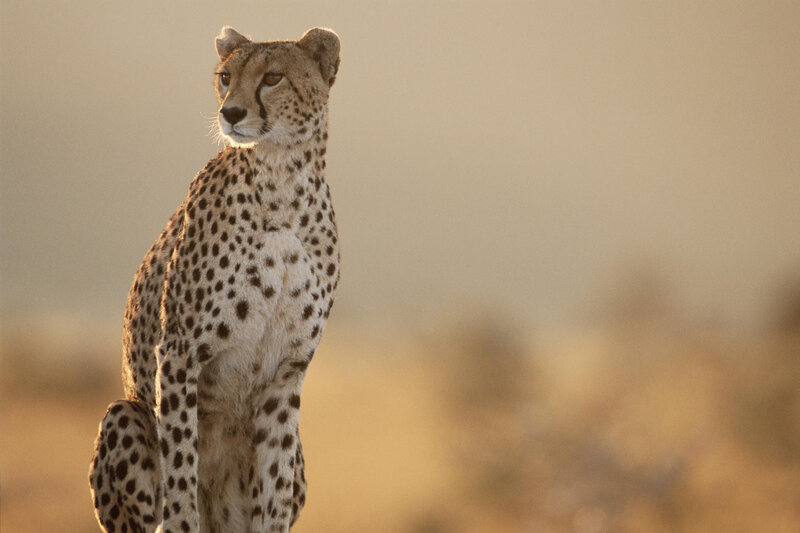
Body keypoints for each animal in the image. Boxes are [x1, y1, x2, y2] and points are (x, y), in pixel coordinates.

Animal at [89, 25, 341, 533]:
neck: (284, 184)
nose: (231, 112)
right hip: (124, 413)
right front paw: (184, 516)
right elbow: (181, 465)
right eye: (226, 76)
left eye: (273, 77)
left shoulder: (286, 373)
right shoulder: (180, 352)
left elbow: (274, 484)